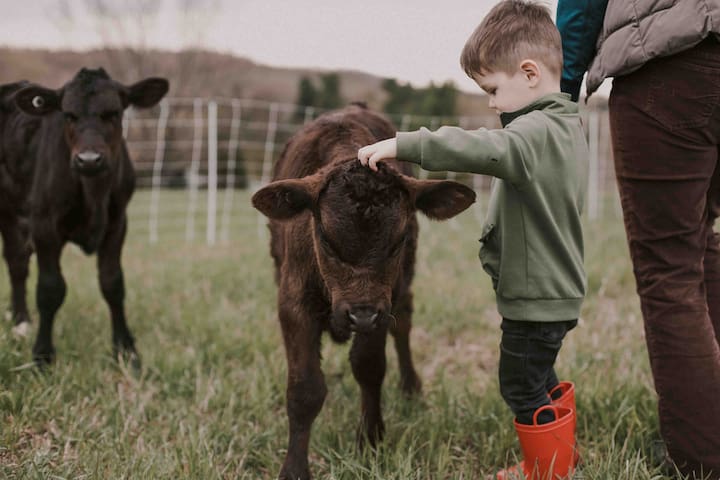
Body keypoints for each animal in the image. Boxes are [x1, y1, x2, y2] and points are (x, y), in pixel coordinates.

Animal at [5, 68, 167, 368]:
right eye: (68, 115)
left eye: (113, 112)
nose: (89, 159)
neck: (94, 193)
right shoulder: (44, 224)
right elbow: (50, 289)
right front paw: (42, 356)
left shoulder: (117, 223)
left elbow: (113, 283)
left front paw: (126, 350)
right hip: (9, 211)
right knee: (17, 264)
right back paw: (21, 323)